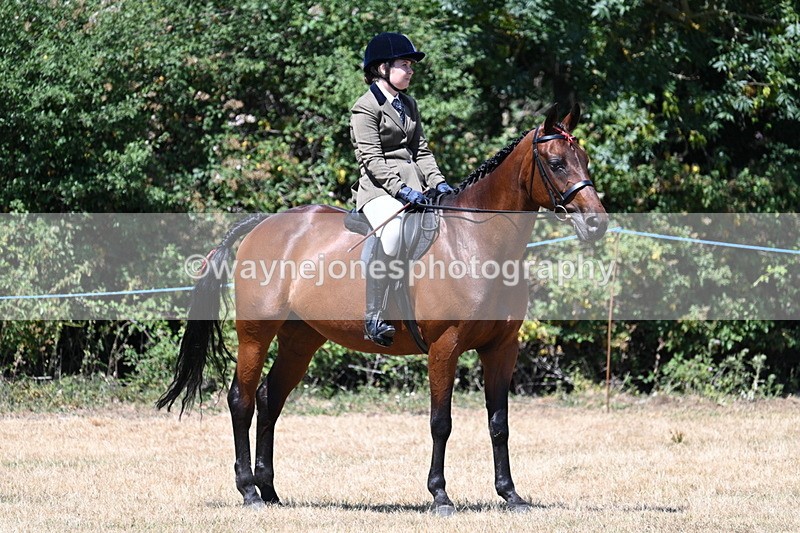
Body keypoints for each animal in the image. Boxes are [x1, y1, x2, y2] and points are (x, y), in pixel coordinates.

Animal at [157, 103, 608, 515]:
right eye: (556, 163)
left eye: (584, 160)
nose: (597, 223)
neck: (476, 244)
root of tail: (265, 224)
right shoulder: (444, 347)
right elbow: (440, 422)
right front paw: (440, 496)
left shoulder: (502, 348)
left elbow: (499, 423)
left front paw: (510, 495)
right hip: (255, 334)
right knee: (242, 400)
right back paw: (249, 491)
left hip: (300, 341)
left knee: (270, 398)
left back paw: (270, 491)